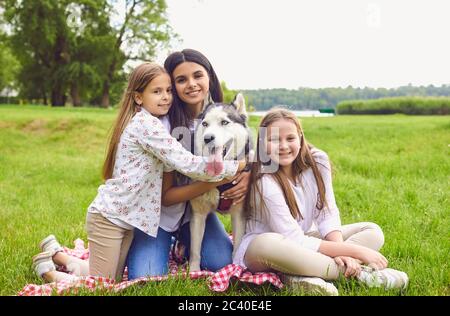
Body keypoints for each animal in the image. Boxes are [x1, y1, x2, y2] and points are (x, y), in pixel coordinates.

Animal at [188, 93, 253, 272]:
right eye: (205, 124)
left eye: (224, 122)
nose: (207, 138)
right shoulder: (198, 214)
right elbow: (195, 249)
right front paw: (193, 272)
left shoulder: (239, 214)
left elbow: (237, 245)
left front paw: (235, 269)